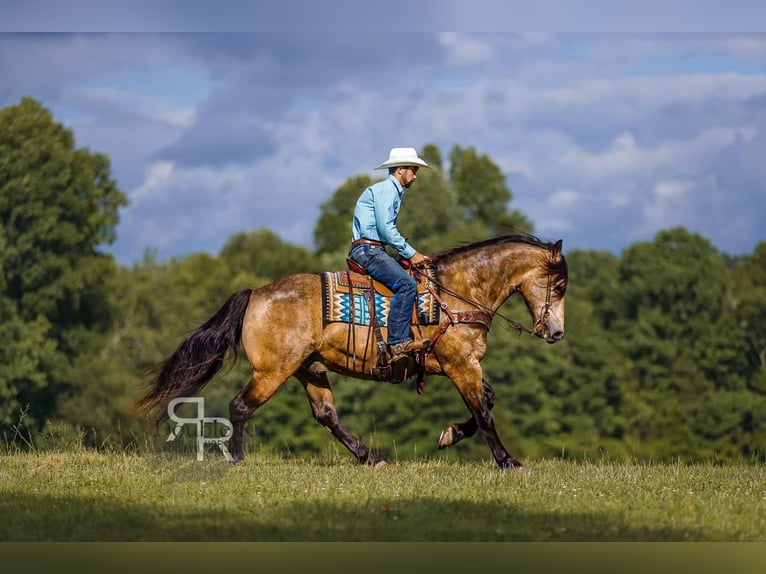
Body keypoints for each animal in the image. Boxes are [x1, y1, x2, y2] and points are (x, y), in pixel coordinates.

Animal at [135, 235, 568, 472]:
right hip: (273, 371)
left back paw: (369, 457)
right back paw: (237, 460)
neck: (455, 294)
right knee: (240, 406)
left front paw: (448, 435)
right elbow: (484, 412)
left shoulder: (456, 365)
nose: (557, 333)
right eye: (560, 286)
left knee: (326, 415)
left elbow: (486, 402)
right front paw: (508, 462)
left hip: (309, 369)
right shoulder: (461, 364)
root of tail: (256, 293)